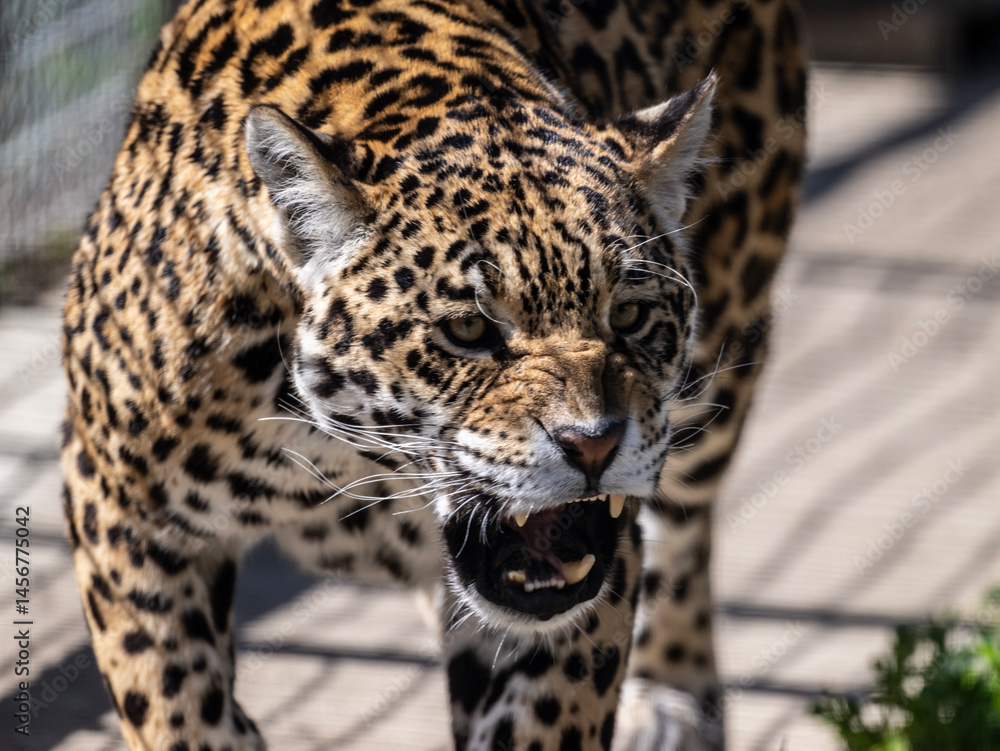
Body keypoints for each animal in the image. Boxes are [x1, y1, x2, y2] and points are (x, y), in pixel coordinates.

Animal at [60, 0, 806, 749]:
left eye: (627, 313)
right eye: (469, 330)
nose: (594, 445)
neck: (344, 453)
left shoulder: (599, 566)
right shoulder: (121, 512)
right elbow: (177, 707)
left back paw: (668, 698)